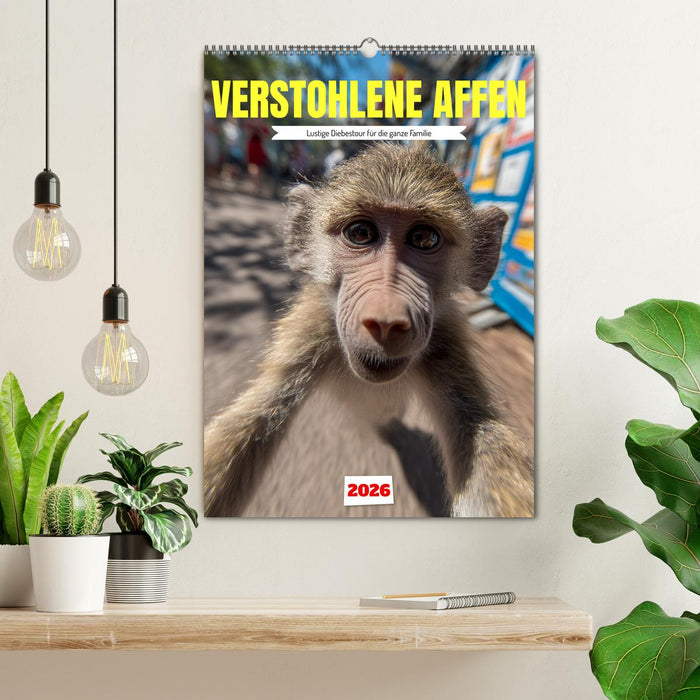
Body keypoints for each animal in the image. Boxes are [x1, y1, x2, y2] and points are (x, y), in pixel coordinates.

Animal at [204, 142, 534, 518]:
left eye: (424, 238)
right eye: (360, 233)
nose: (387, 319)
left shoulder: (445, 344)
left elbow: (480, 429)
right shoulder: (312, 330)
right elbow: (259, 414)